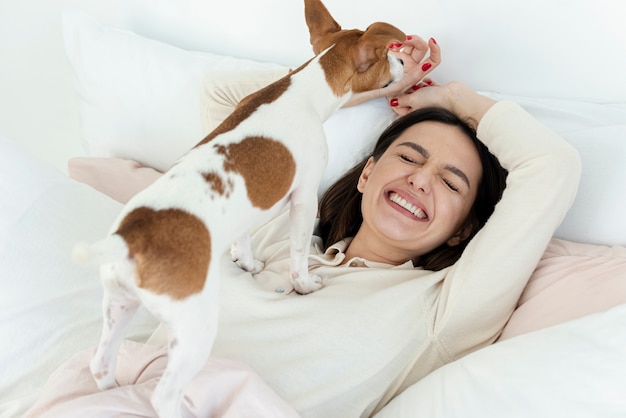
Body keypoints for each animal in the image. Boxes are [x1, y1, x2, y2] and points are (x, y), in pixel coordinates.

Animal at [72, 1, 404, 416]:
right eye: (389, 54)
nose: (404, 62)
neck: (304, 89)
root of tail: (131, 237)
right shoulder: (304, 198)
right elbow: (298, 255)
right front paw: (304, 284)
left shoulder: (245, 212)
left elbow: (243, 239)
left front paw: (246, 263)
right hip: (194, 330)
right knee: (163, 393)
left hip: (119, 305)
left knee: (101, 363)